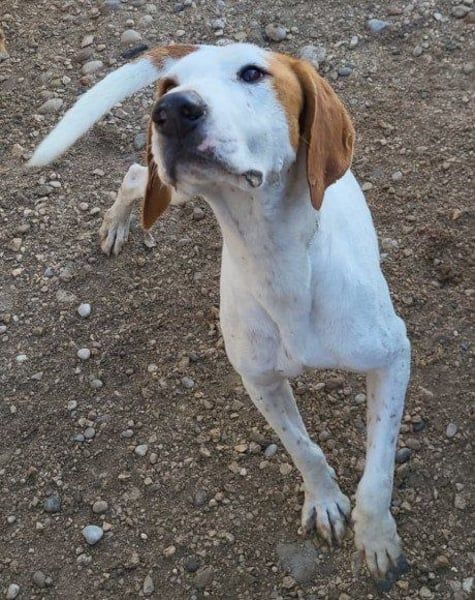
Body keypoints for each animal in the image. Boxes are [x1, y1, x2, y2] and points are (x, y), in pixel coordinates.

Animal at [29, 43, 411, 589]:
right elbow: (303, 448)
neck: (278, 261)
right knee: (136, 176)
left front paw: (376, 537)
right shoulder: (260, 380)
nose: (171, 111)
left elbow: (378, 474)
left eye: (252, 73)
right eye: (170, 87)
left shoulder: (393, 357)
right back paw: (117, 223)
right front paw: (324, 500)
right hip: (170, 189)